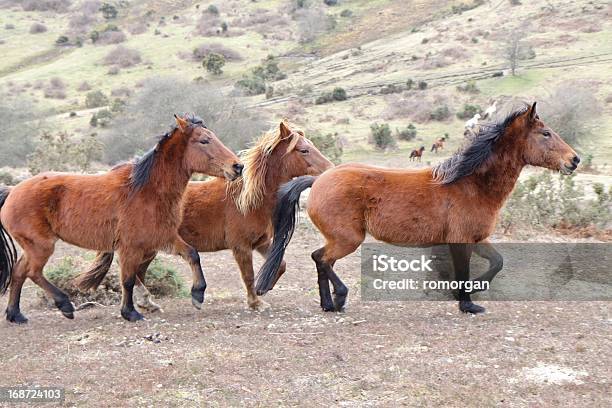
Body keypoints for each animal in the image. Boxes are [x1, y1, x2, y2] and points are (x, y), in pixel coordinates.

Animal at [0, 114, 244, 322]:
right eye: (204, 141)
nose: (238, 166)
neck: (146, 190)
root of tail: (12, 191)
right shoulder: (130, 247)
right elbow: (127, 279)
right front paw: (130, 312)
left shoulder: (163, 237)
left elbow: (192, 254)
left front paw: (197, 295)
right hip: (41, 246)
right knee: (33, 272)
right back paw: (65, 305)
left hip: (33, 247)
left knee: (19, 272)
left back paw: (16, 315)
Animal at [77, 120, 338, 310]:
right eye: (303, 150)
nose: (330, 171)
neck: (247, 198)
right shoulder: (241, 246)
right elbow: (248, 275)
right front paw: (256, 302)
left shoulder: (260, 242)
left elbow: (280, 265)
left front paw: (264, 289)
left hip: (151, 247)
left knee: (138, 270)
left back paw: (147, 303)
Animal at [256, 103, 580, 314]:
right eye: (546, 133)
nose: (574, 160)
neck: (470, 184)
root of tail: (318, 179)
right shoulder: (460, 241)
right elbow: (463, 271)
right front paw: (467, 303)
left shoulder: (478, 239)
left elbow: (497, 263)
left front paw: (473, 290)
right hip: (348, 239)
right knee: (321, 259)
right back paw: (339, 298)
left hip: (339, 239)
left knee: (322, 260)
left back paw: (329, 304)